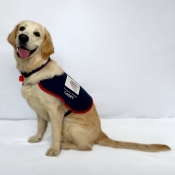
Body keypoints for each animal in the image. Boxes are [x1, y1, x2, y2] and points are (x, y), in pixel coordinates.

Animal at [7, 20, 170, 156]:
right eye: (22, 28)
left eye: (37, 34)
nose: (22, 37)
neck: (35, 69)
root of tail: (101, 133)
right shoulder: (39, 110)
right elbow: (41, 127)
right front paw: (37, 138)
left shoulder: (54, 111)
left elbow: (54, 133)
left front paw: (54, 149)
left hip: (69, 123)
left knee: (87, 146)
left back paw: (65, 145)